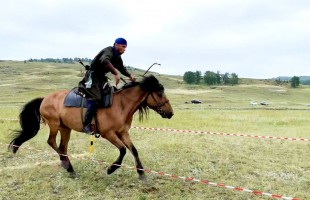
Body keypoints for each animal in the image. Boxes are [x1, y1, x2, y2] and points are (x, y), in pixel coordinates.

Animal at [7, 75, 172, 180]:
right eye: (159, 92)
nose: (170, 113)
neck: (121, 105)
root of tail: (44, 99)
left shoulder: (123, 132)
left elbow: (134, 150)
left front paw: (141, 173)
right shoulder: (108, 133)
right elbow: (123, 150)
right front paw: (111, 169)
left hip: (65, 128)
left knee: (62, 147)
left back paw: (69, 168)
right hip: (54, 125)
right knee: (51, 142)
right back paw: (67, 166)